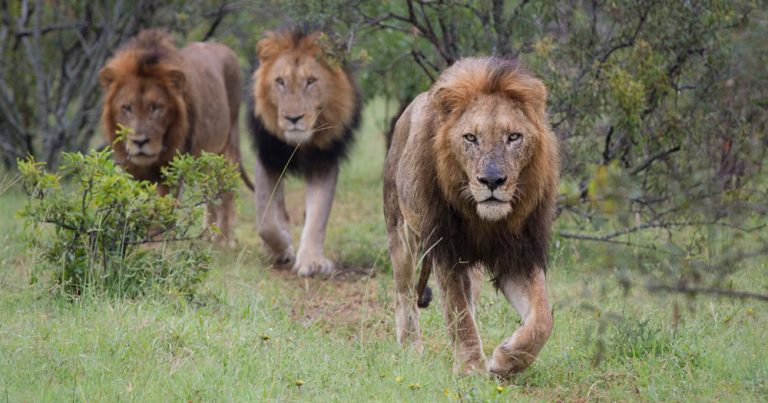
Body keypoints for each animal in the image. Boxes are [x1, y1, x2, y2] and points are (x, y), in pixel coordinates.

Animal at [99, 30, 252, 245]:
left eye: (156, 107)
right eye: (126, 107)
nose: (139, 142)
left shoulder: (172, 170)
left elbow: (163, 211)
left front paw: (157, 243)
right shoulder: (133, 172)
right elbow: (138, 206)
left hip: (229, 144)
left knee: (226, 192)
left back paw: (224, 242)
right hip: (206, 160)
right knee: (210, 194)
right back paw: (207, 239)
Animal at [249, 27, 364, 278]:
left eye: (310, 81)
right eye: (280, 81)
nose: (293, 118)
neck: (299, 144)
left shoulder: (324, 162)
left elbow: (318, 216)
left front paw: (312, 262)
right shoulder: (268, 158)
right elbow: (265, 220)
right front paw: (282, 248)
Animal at [382, 56, 560, 378]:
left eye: (513, 137)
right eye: (471, 138)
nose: (492, 180)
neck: (485, 220)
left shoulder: (520, 254)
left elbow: (542, 318)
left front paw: (505, 360)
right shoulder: (446, 250)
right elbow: (457, 312)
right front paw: (470, 368)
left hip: (470, 266)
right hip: (400, 233)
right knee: (404, 295)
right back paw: (410, 348)